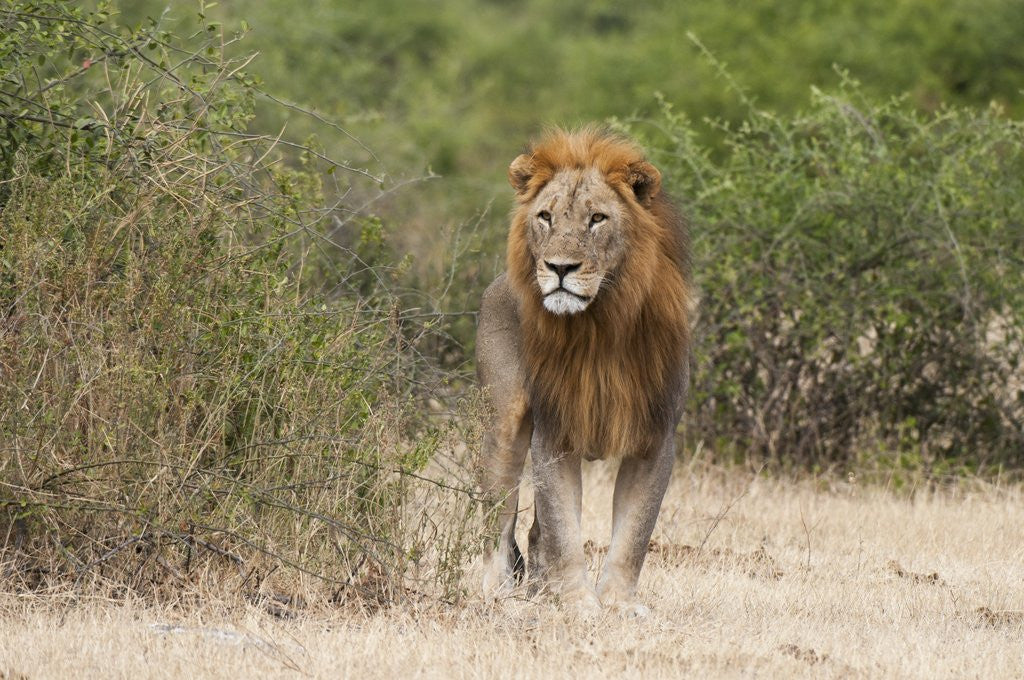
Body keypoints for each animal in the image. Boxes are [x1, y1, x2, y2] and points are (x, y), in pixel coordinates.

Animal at [477, 127, 693, 614]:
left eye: (597, 218)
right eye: (545, 217)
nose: (559, 268)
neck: (601, 325)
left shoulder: (656, 437)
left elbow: (634, 535)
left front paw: (618, 603)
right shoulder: (555, 434)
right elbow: (564, 530)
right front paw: (578, 603)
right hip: (503, 425)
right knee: (496, 517)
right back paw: (498, 593)